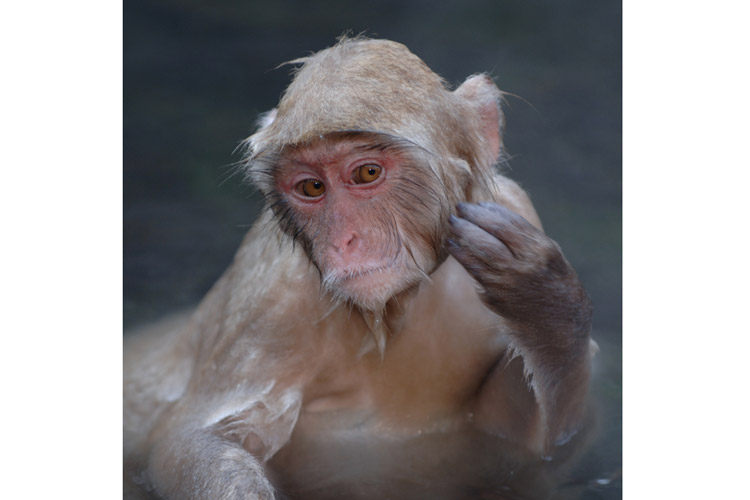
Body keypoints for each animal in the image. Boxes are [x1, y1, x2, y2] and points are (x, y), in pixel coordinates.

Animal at [125, 37, 600, 498]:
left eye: (367, 173)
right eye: (311, 187)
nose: (344, 240)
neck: (394, 310)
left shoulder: (512, 208)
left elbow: (531, 442)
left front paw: (545, 305)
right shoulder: (275, 296)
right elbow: (198, 440)